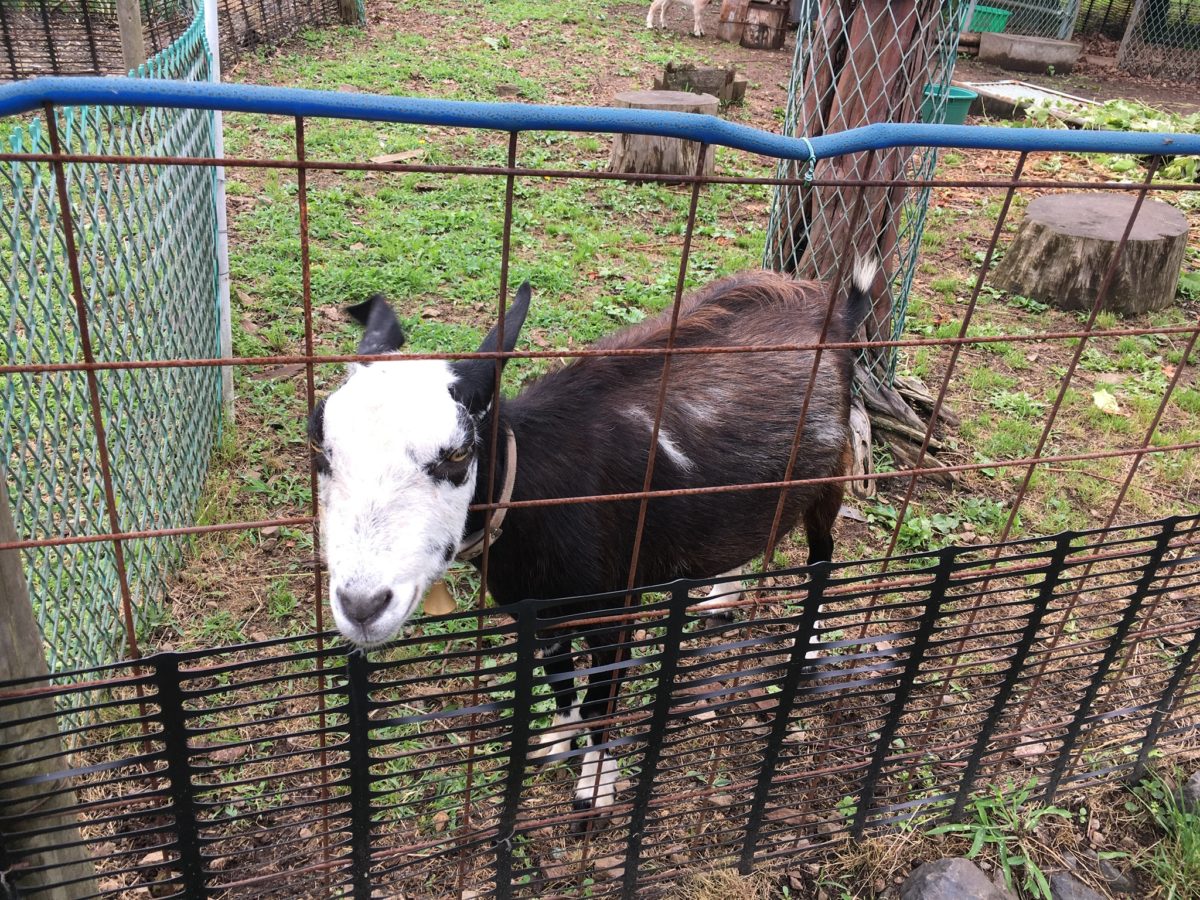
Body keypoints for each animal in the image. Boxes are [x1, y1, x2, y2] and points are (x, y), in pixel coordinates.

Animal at [309, 264, 873, 820]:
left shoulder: (613, 609)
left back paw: (811, 646)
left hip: (832, 471)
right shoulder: (538, 609)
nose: (362, 605)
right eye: (319, 446)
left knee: (823, 555)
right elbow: (560, 680)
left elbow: (601, 698)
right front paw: (558, 742)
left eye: (459, 453)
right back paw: (720, 596)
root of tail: (837, 310)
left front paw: (595, 787)